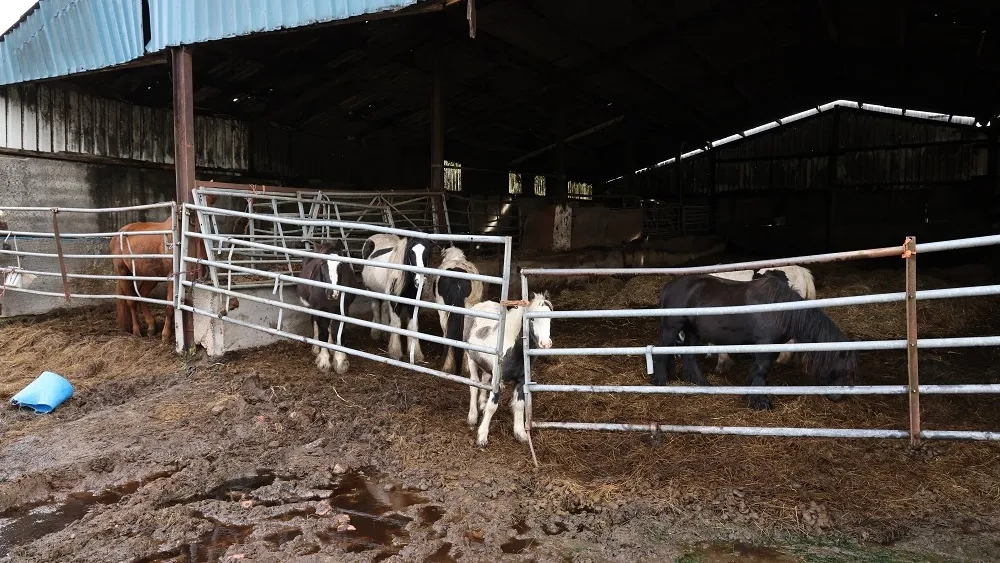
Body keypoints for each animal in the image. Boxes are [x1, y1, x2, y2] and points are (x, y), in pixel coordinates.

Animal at [297, 241, 358, 375]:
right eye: (321, 264)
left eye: (341, 264)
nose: (332, 293)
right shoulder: (320, 309)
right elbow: (323, 333)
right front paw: (324, 361)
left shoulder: (342, 310)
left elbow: (337, 332)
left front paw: (340, 361)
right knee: (315, 322)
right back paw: (316, 348)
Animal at [360, 233, 432, 362]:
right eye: (411, 252)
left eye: (427, 252)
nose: (420, 282)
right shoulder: (394, 302)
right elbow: (396, 323)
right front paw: (395, 352)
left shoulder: (414, 303)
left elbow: (412, 326)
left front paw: (415, 353)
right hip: (371, 291)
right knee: (375, 308)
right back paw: (376, 333)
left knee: (384, 308)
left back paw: (385, 333)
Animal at [463, 292, 553, 447]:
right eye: (532, 318)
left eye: (550, 318)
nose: (546, 344)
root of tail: (480, 305)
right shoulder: (498, 380)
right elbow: (492, 406)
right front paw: (482, 436)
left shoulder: (521, 381)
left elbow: (519, 405)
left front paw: (520, 433)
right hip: (471, 359)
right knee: (473, 384)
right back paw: (473, 416)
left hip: (488, 366)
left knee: (484, 379)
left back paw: (481, 404)